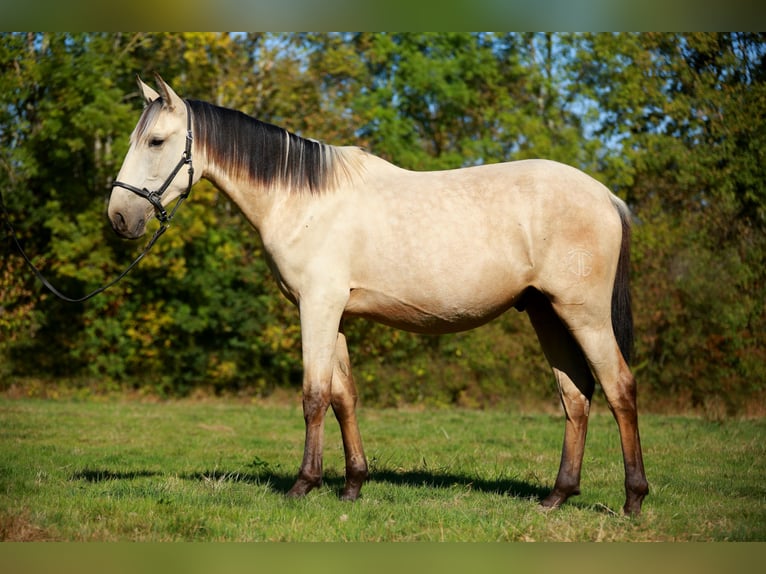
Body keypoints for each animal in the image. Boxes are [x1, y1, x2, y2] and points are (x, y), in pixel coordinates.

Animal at [108, 75, 648, 516]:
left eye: (156, 140)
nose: (119, 217)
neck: (301, 200)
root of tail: (607, 197)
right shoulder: (337, 314)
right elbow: (344, 397)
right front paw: (352, 485)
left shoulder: (317, 307)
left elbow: (314, 395)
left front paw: (303, 485)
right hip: (546, 313)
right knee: (575, 395)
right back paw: (557, 496)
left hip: (584, 314)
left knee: (619, 387)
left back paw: (633, 499)